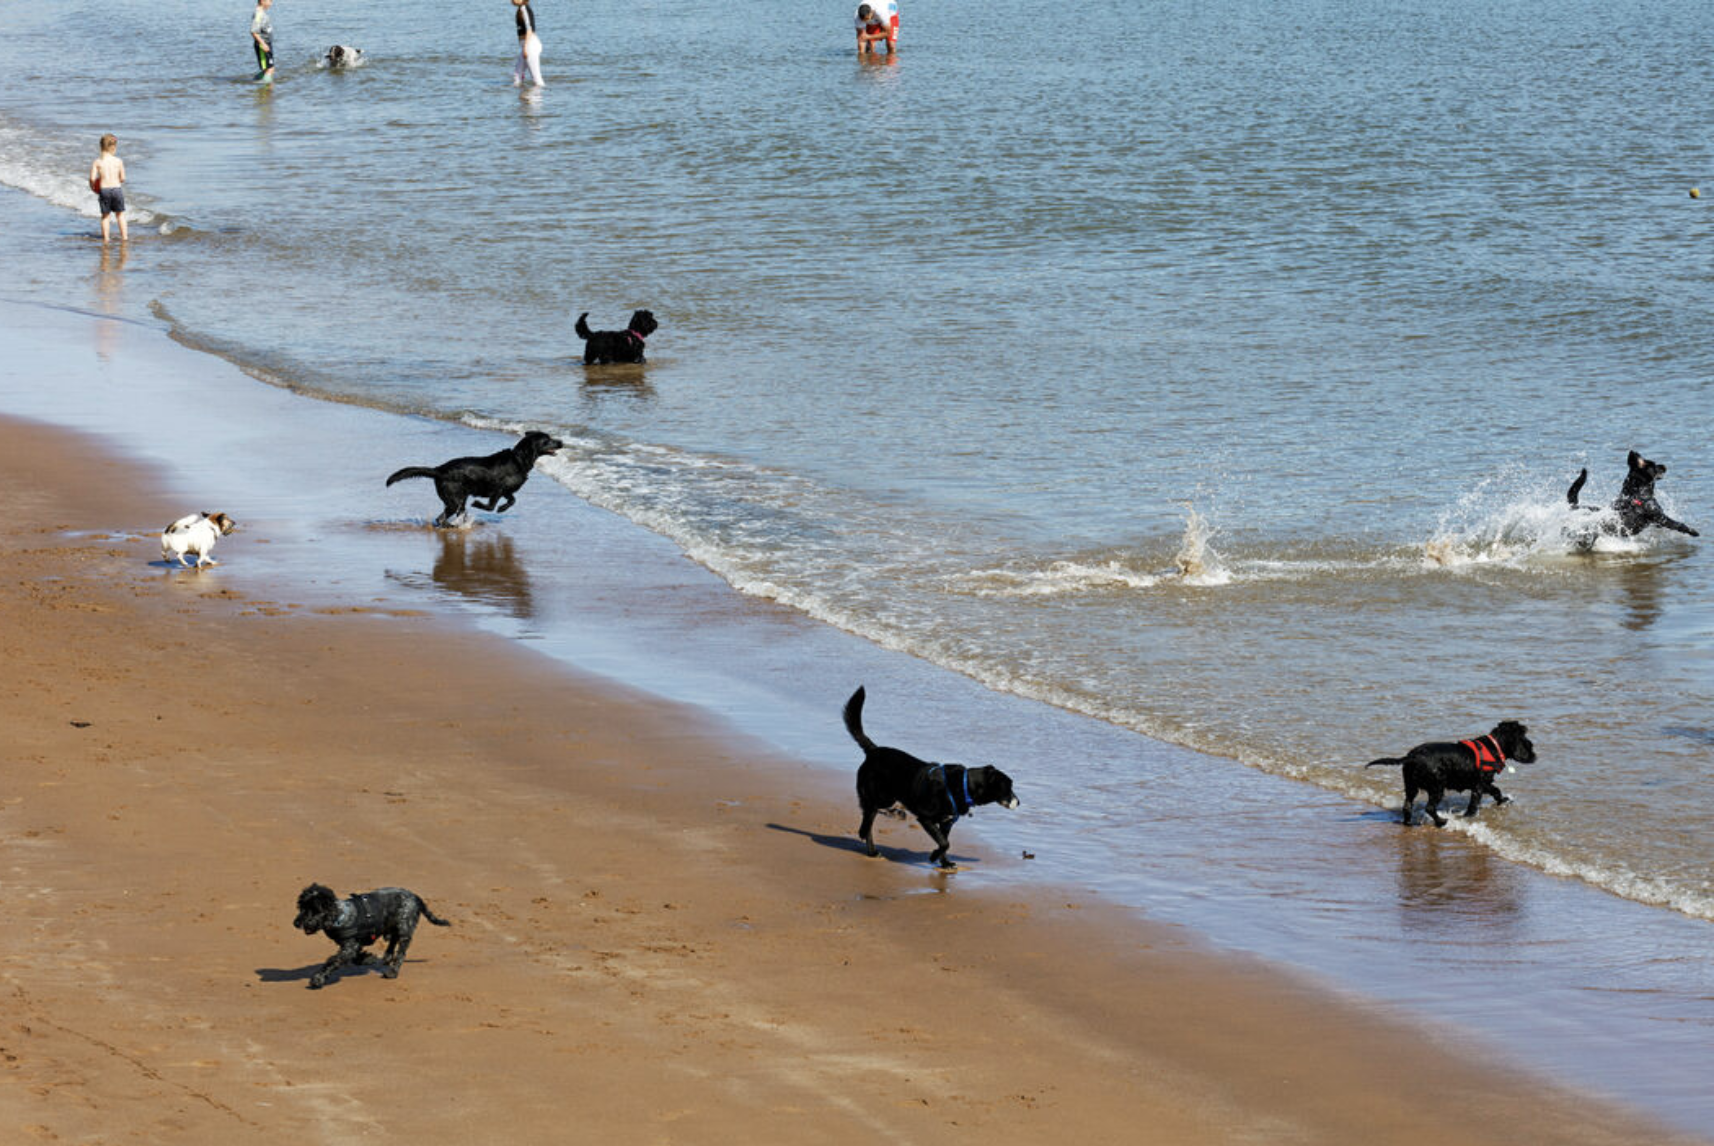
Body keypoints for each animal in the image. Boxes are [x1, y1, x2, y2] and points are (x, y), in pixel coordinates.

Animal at [296, 883, 452, 986]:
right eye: (301, 907)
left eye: (314, 910)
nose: (296, 923)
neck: (340, 915)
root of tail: (415, 897)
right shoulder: (353, 945)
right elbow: (355, 956)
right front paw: (368, 958)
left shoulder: (349, 947)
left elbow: (333, 960)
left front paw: (318, 978)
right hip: (393, 924)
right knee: (393, 939)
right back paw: (387, 957)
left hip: (404, 927)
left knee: (401, 952)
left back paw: (392, 972)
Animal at [843, 685, 1014, 863]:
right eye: (1008, 787)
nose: (1019, 802)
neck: (964, 784)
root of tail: (873, 750)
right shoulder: (926, 818)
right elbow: (944, 842)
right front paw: (934, 856)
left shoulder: (946, 823)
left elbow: (945, 842)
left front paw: (944, 863)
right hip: (881, 797)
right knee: (868, 820)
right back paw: (868, 842)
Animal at [1364, 719, 1542, 825]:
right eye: (1528, 744)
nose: (1535, 756)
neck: (1494, 746)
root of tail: (1412, 756)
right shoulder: (1479, 785)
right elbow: (1476, 802)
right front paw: (1468, 817)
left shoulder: (1483, 783)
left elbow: (1496, 791)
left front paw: (1503, 800)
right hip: (1437, 786)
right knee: (1429, 808)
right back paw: (1441, 822)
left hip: (1411, 785)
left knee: (1407, 805)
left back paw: (1408, 823)